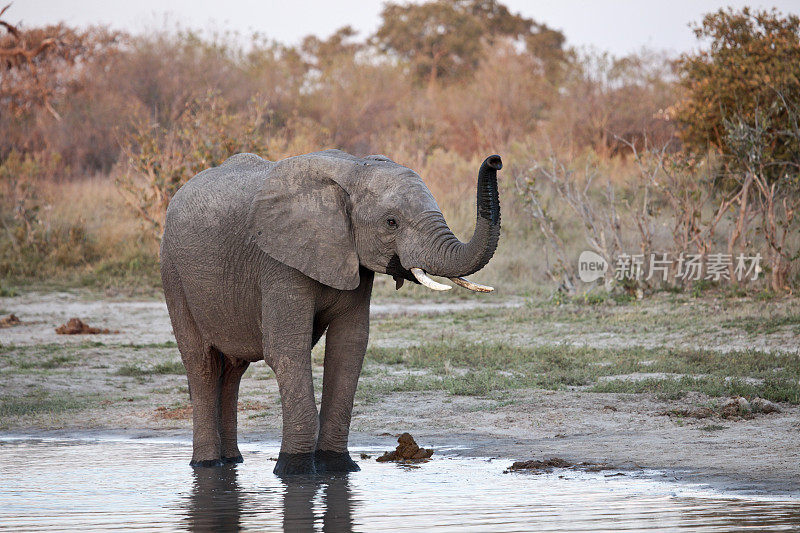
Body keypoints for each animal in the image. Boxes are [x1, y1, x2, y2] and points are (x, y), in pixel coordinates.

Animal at [159, 149, 504, 474]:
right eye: (391, 222)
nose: (495, 160)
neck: (353, 171)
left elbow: (348, 347)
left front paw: (338, 467)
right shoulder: (279, 261)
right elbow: (287, 350)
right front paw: (295, 472)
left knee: (232, 370)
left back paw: (232, 461)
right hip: (173, 272)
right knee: (202, 364)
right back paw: (207, 465)